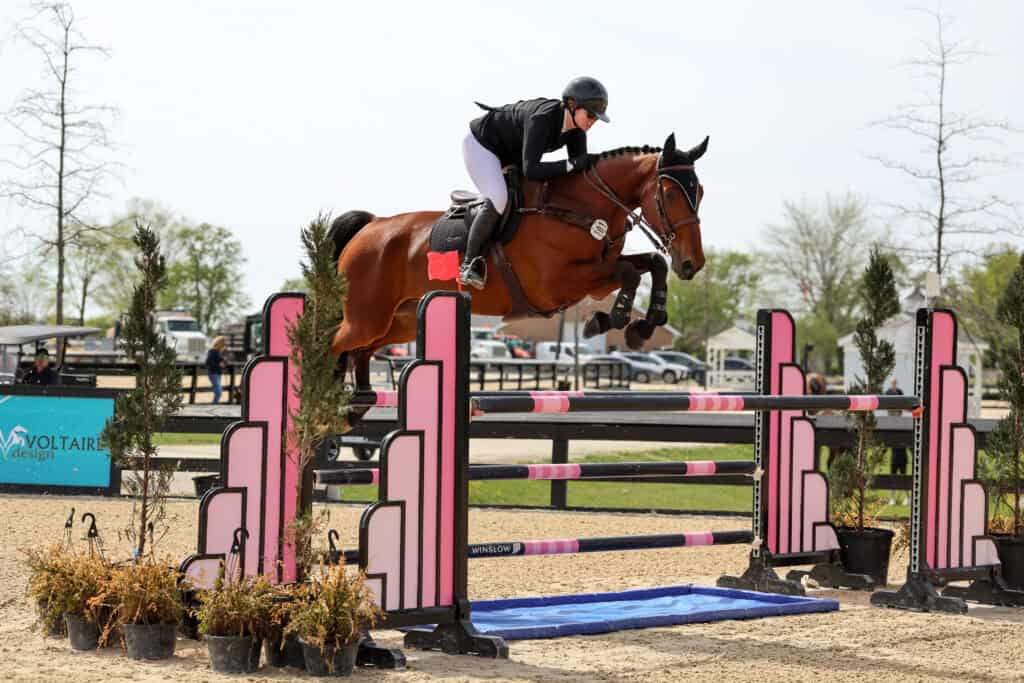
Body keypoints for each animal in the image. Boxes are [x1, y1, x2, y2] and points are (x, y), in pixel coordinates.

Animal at [330, 133, 708, 392]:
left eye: (700, 192)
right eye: (670, 194)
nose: (693, 263)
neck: (578, 207)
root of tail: (371, 226)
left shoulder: (598, 277)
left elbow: (653, 263)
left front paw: (644, 324)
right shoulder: (559, 284)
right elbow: (631, 271)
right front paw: (605, 321)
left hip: (399, 322)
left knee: (360, 354)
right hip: (366, 319)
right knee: (333, 345)